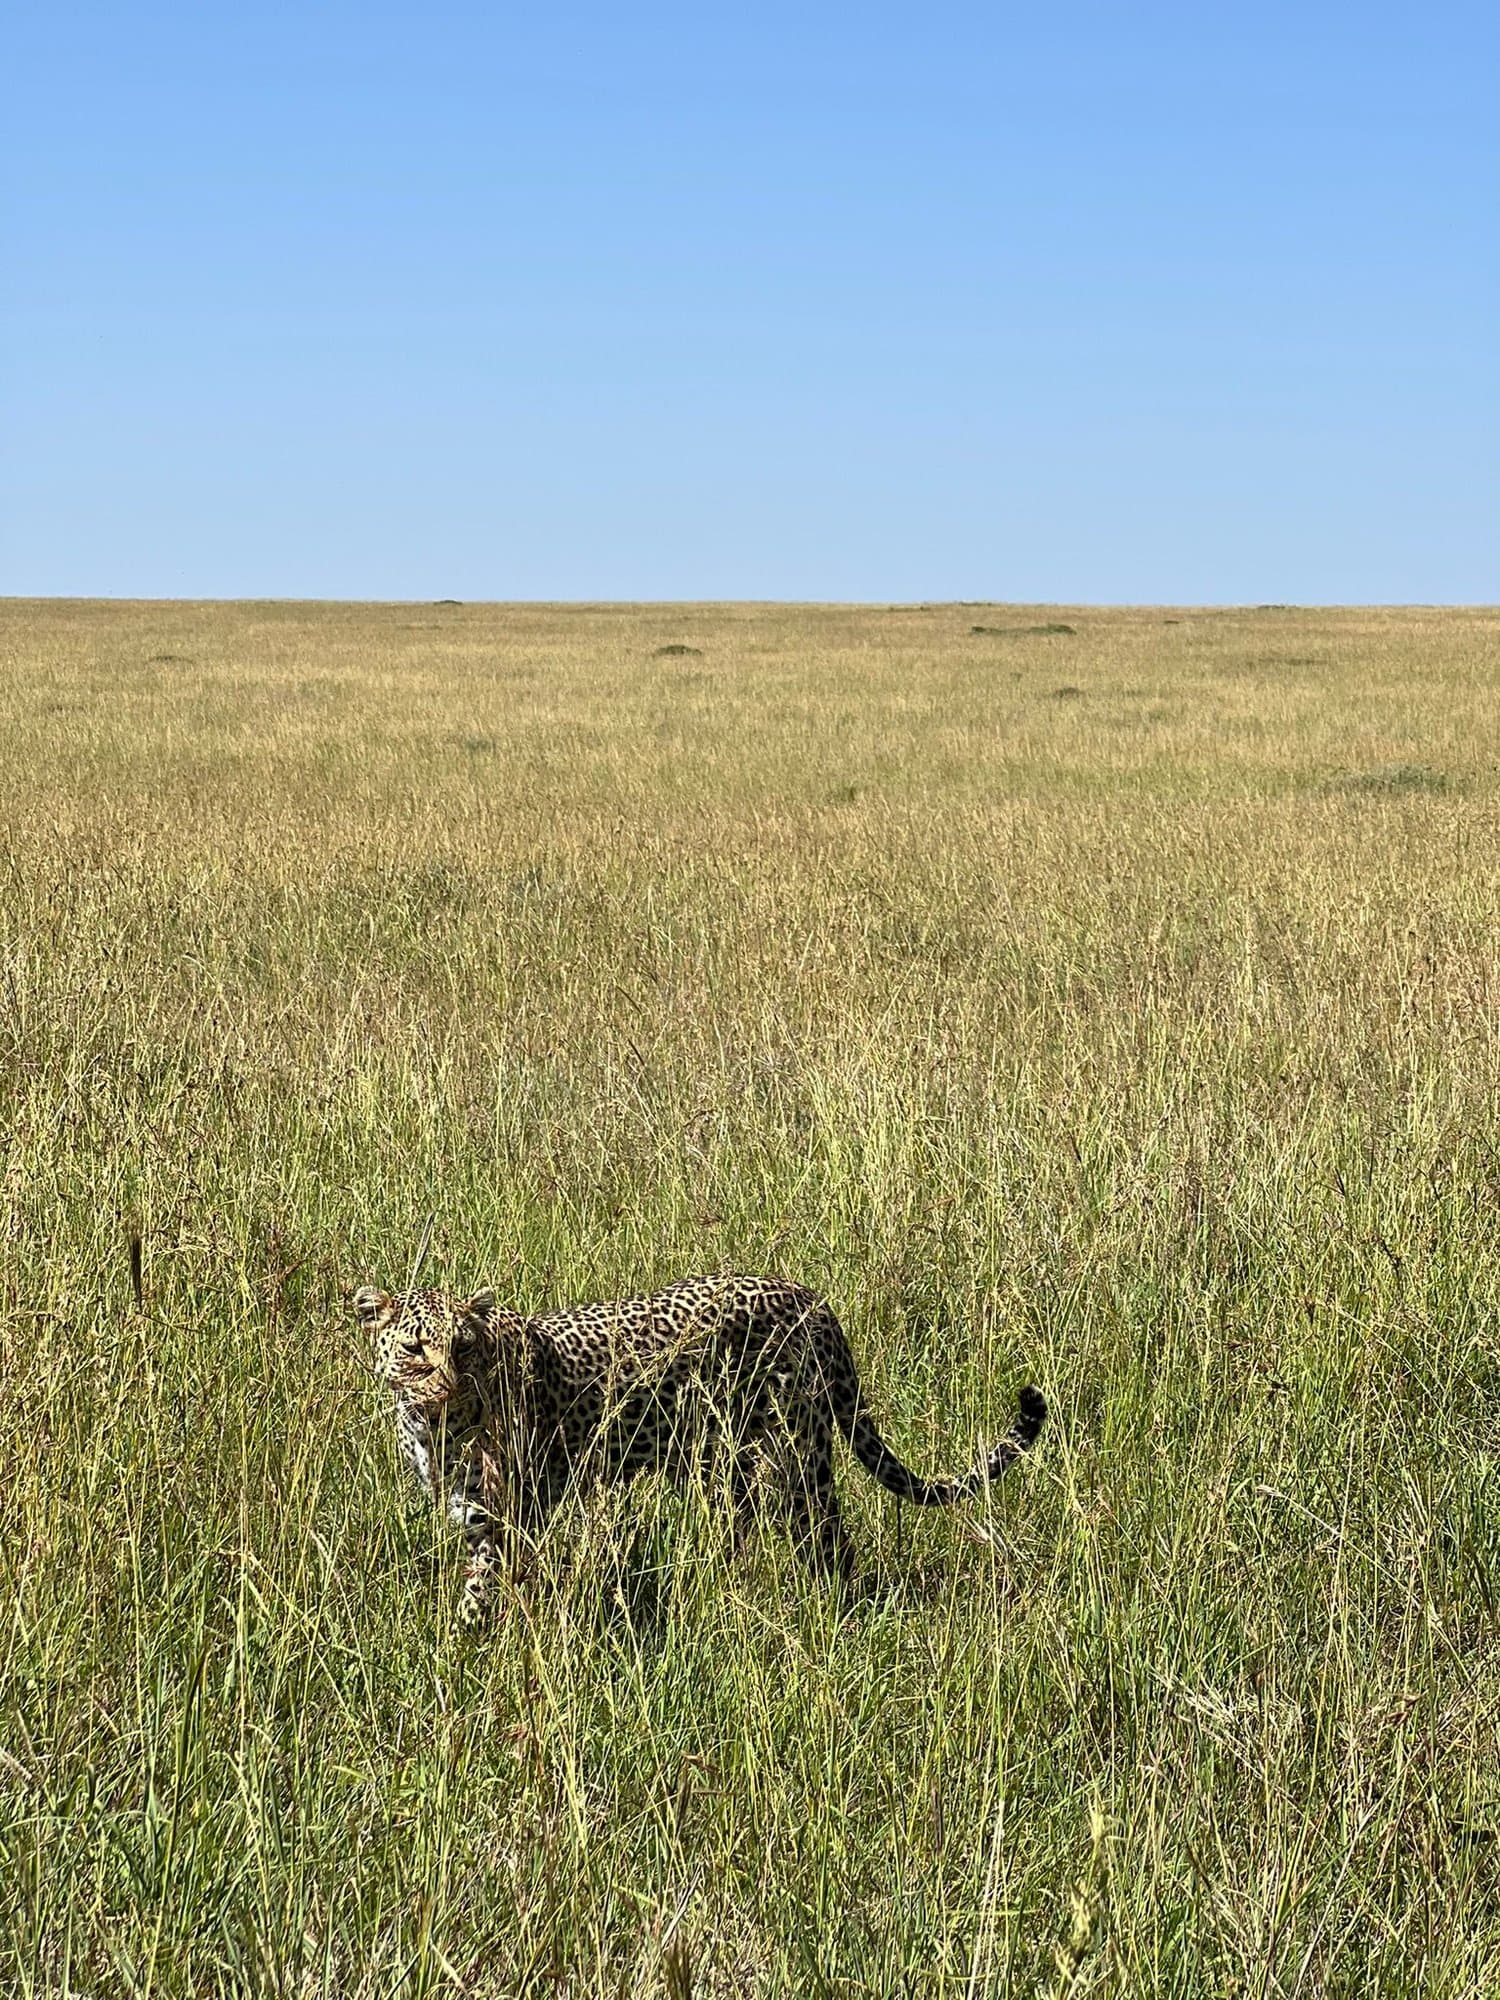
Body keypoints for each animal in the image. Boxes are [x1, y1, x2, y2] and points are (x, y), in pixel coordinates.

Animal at [355, 1271, 1046, 1630]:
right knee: (742, 1530)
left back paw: (834, 1615)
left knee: (828, 1542)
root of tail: (809, 1296)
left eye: (464, 1347)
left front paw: (466, 1652)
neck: (433, 1429)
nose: (449, 1389)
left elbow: (484, 1591)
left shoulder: (509, 1518)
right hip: (727, 1462)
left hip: (798, 1456)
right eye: (415, 1349)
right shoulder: (477, 1516)